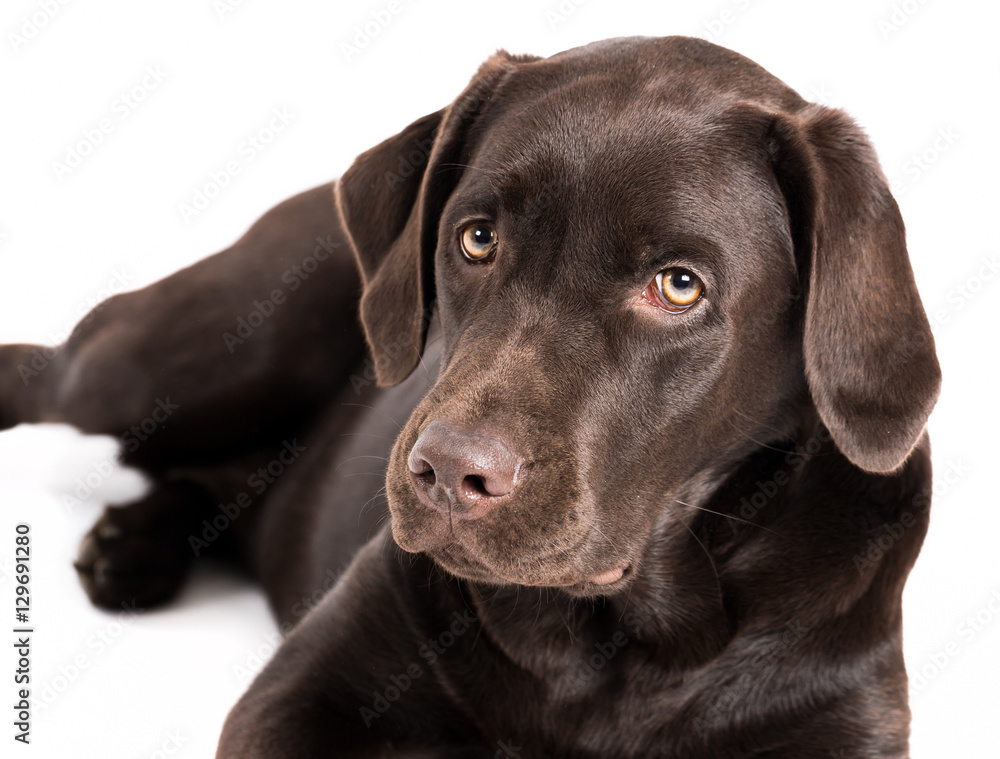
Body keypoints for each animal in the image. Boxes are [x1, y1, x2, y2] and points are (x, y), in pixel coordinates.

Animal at [0, 37, 936, 759]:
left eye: (678, 285)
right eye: (477, 238)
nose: (448, 473)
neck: (621, 643)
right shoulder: (300, 691)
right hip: (180, 357)